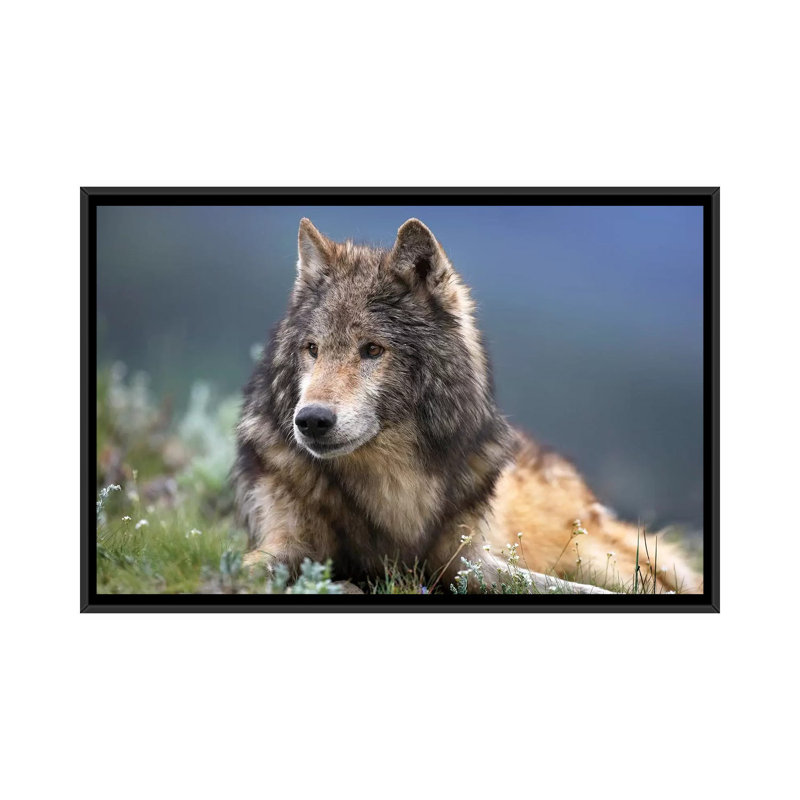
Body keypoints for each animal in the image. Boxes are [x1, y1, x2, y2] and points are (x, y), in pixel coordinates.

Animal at [233, 218, 701, 594]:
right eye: (312, 349)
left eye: (372, 350)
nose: (311, 420)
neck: (390, 485)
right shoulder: (288, 541)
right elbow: (248, 568)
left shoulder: (467, 562)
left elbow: (565, 588)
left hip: (591, 554)